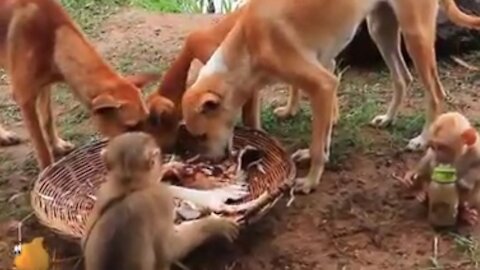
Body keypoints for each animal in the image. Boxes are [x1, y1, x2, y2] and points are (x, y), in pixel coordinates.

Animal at [0, 0, 160, 169]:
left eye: (147, 120)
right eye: (130, 127)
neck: (55, 39)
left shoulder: (45, 85)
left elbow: (48, 119)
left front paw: (56, 145)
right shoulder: (25, 98)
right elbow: (42, 148)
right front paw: (47, 170)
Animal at [83, 132, 240, 270]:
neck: (128, 186)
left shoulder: (105, 189)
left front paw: (170, 167)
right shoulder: (160, 201)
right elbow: (170, 250)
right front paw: (214, 225)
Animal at [178, 0, 480, 194]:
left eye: (201, 136)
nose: (214, 163)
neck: (249, 44)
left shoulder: (323, 85)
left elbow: (317, 144)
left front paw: (311, 182)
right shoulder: (324, 82)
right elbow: (322, 137)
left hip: (415, 33)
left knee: (436, 94)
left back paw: (422, 139)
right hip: (380, 27)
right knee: (402, 78)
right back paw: (388, 118)